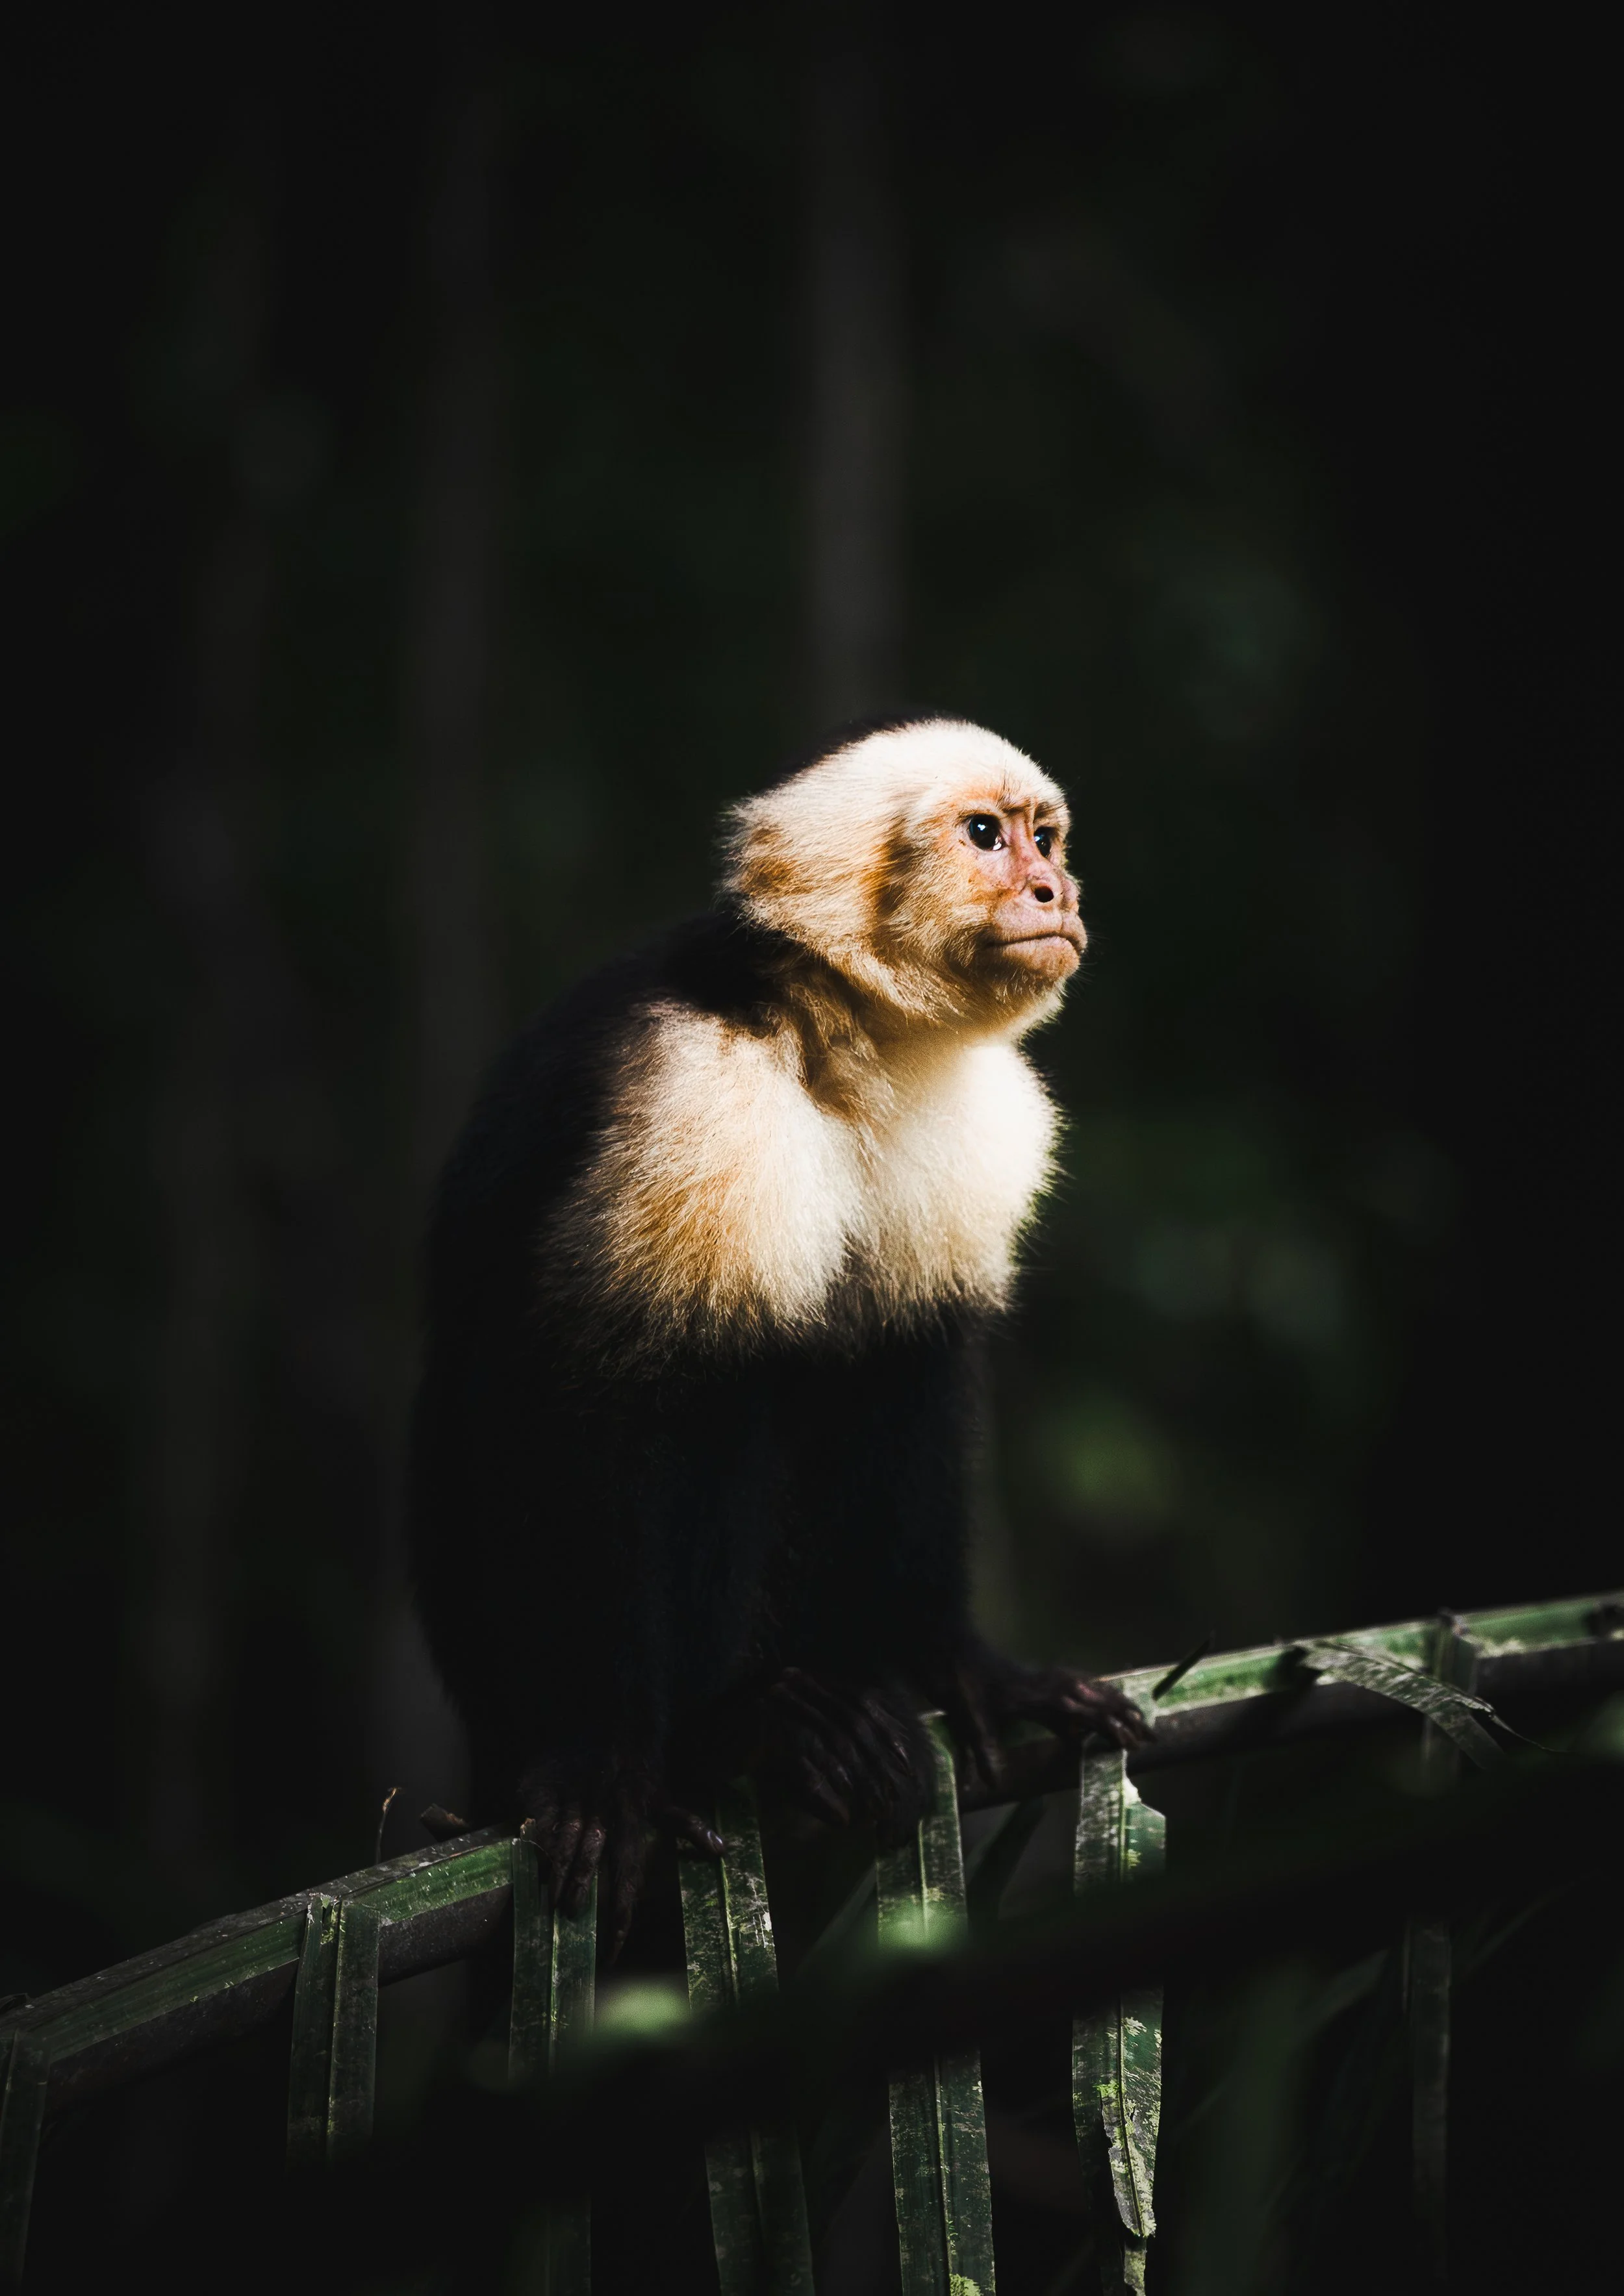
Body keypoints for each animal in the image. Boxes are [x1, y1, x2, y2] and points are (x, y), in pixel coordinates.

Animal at [408, 715, 1146, 1953]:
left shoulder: (973, 1112)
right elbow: (598, 1394)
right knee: (719, 1383)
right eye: (983, 835)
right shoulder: (692, 1086)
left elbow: (915, 1369)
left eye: (1044, 837)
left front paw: (959, 1663)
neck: (841, 1036)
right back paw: (735, 1723)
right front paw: (609, 1762)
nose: (1056, 888)